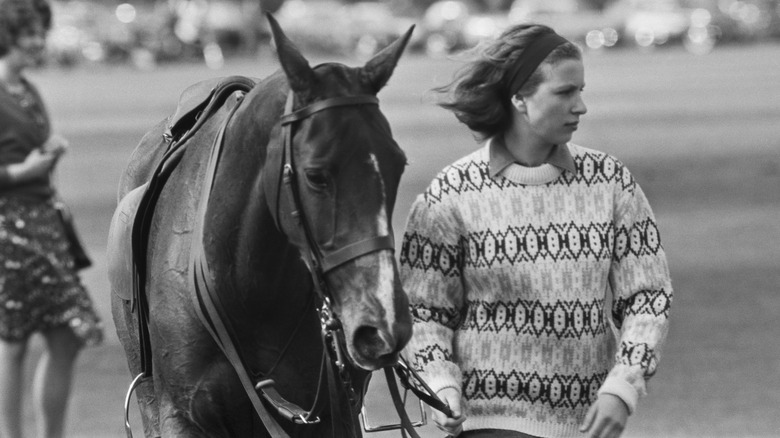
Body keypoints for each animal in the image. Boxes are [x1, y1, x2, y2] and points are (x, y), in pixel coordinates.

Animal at [109, 15, 418, 436]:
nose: (383, 323)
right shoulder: (180, 414)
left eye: (398, 163)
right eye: (315, 175)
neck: (247, 288)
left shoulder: (332, 414)